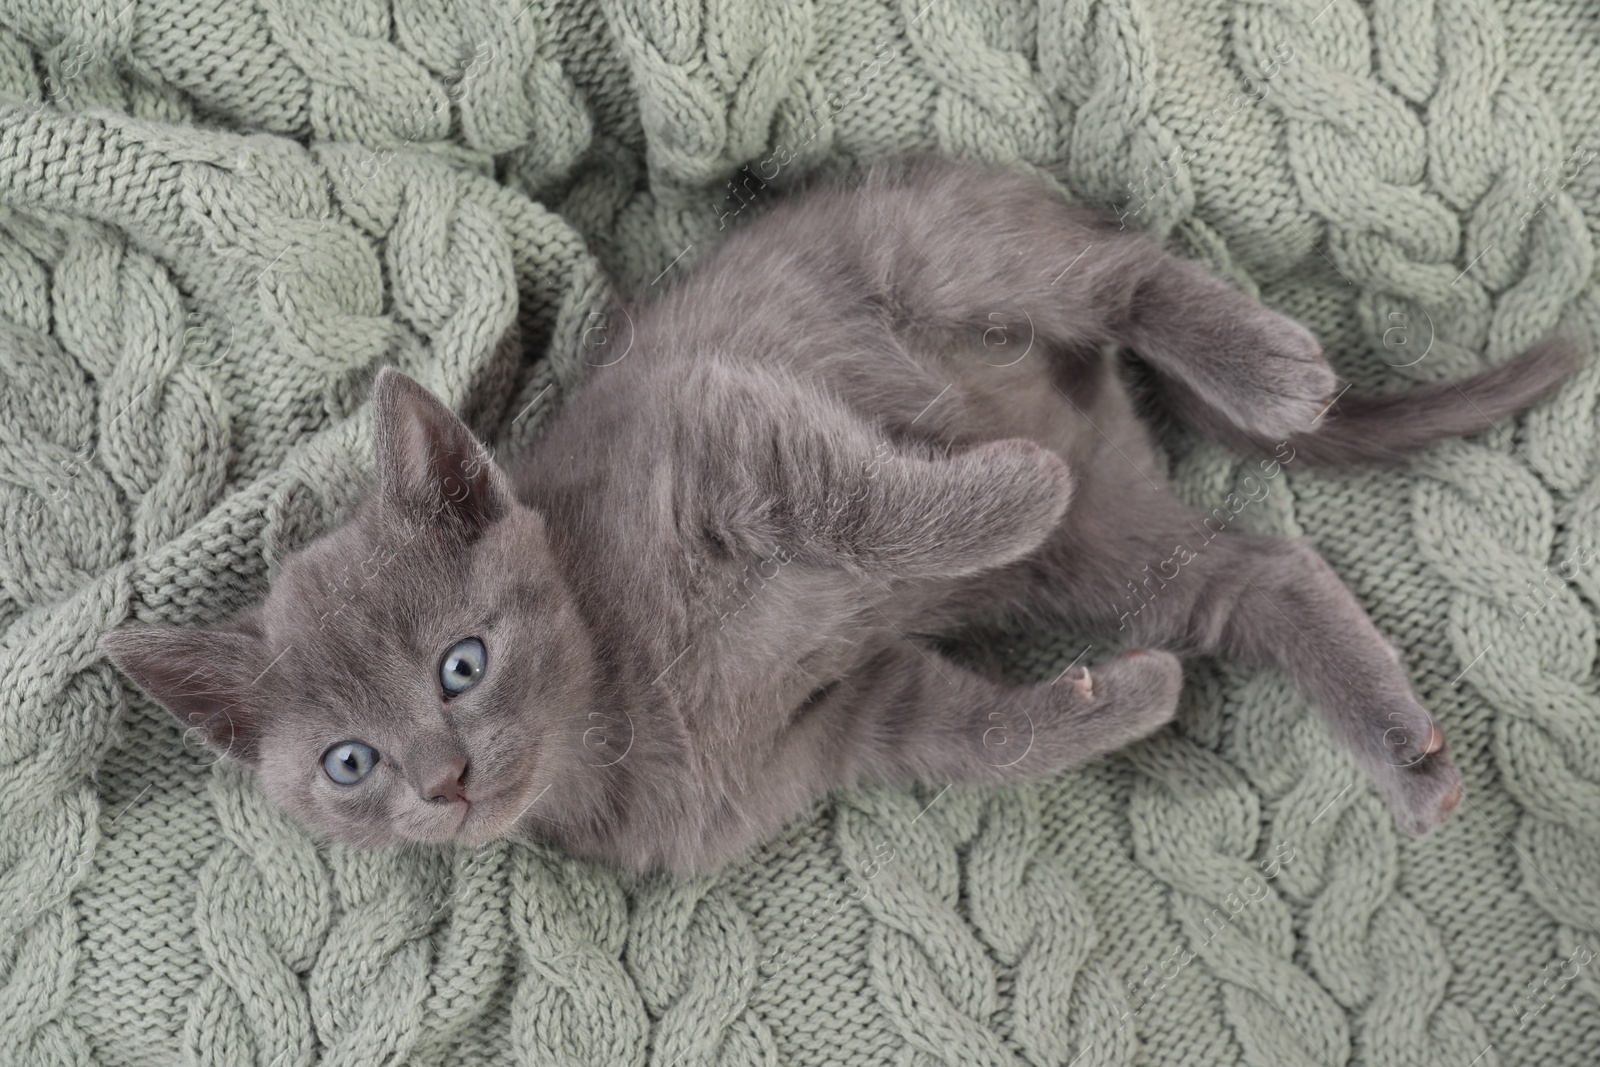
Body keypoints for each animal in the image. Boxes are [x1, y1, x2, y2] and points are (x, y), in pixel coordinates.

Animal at [100, 158, 1574, 876]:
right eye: (349, 762)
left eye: (462, 662)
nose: (443, 780)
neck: (621, 695)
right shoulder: (837, 730)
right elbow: (973, 736)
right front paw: (1122, 697)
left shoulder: (715, 417)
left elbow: (854, 500)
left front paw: (1001, 491)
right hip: (1110, 541)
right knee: (1251, 573)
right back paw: (1399, 742)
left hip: (948, 254)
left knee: (1122, 272)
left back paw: (1260, 369)